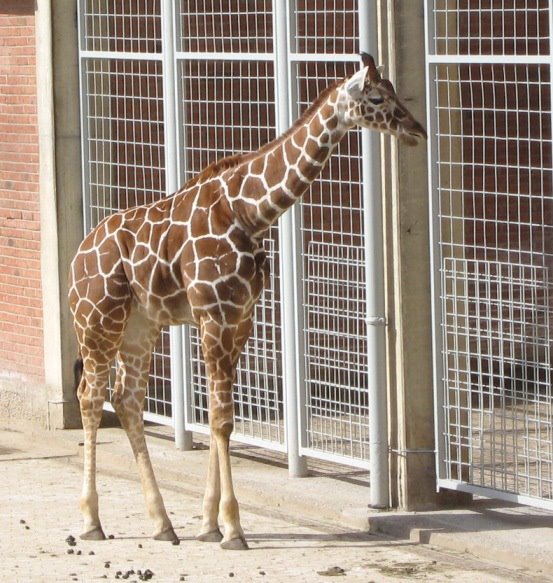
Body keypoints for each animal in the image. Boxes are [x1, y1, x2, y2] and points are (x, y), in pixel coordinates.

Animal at [67, 52, 424, 548]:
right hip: (99, 321)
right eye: (375, 98)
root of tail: (76, 258)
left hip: (141, 325)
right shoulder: (214, 316)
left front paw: (207, 524)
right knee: (90, 396)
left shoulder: (240, 319)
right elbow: (219, 419)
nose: (416, 129)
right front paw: (232, 528)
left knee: (126, 400)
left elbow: (224, 417)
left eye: (392, 90)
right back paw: (91, 521)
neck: (249, 213)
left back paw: (162, 523)